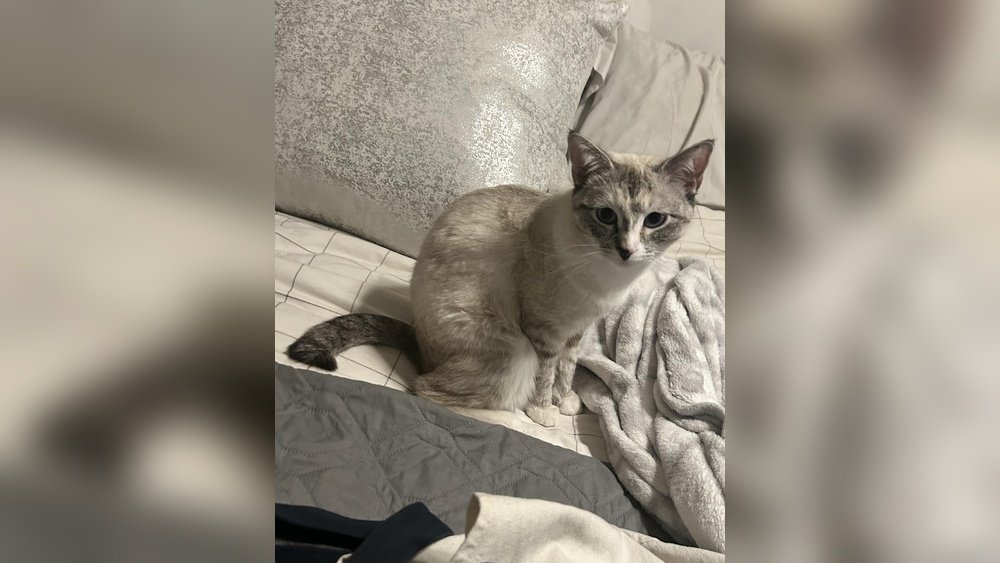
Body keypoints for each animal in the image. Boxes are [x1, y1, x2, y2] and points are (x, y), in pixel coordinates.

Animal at [287, 132, 713, 426]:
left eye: (654, 220)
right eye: (606, 216)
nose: (627, 250)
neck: (606, 279)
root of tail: (421, 348)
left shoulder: (576, 331)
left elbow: (567, 370)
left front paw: (563, 401)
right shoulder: (543, 332)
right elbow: (546, 375)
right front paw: (543, 412)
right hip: (513, 351)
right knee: (426, 391)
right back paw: (511, 420)